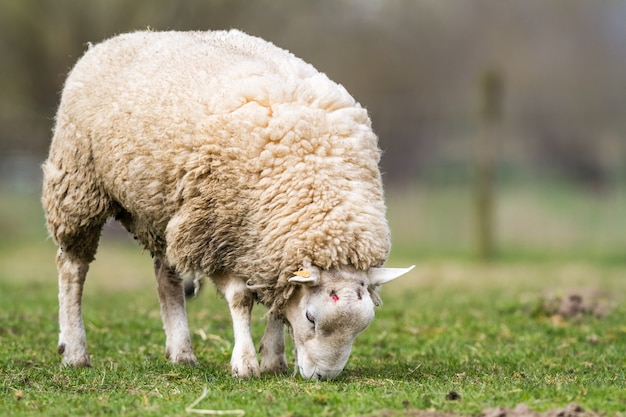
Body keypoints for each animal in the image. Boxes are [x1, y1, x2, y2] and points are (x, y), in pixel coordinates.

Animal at [44, 29, 414, 380]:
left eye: (362, 326)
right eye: (311, 318)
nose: (324, 377)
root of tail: (113, 40)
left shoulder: (267, 247)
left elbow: (277, 302)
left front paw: (274, 360)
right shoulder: (216, 232)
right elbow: (241, 298)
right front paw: (245, 363)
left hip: (164, 207)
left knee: (167, 276)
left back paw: (181, 352)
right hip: (78, 184)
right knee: (72, 268)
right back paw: (75, 351)